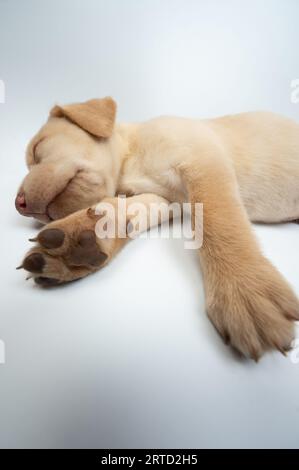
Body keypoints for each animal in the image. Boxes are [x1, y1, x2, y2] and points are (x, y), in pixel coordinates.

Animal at [15, 96, 299, 360]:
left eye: (37, 149)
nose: (19, 205)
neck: (130, 158)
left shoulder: (202, 158)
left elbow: (219, 218)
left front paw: (243, 287)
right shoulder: (166, 200)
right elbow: (124, 208)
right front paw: (79, 240)